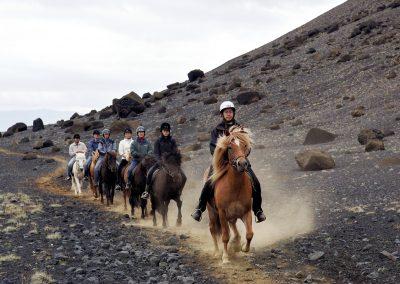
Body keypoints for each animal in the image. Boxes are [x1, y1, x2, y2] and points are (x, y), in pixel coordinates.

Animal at [206, 126, 253, 264]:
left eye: (244, 145)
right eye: (230, 147)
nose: (242, 164)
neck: (234, 186)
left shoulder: (246, 211)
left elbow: (249, 234)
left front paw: (244, 248)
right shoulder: (222, 213)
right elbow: (225, 236)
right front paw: (225, 257)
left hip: (232, 215)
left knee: (233, 228)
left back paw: (236, 244)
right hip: (212, 212)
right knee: (212, 229)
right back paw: (217, 252)